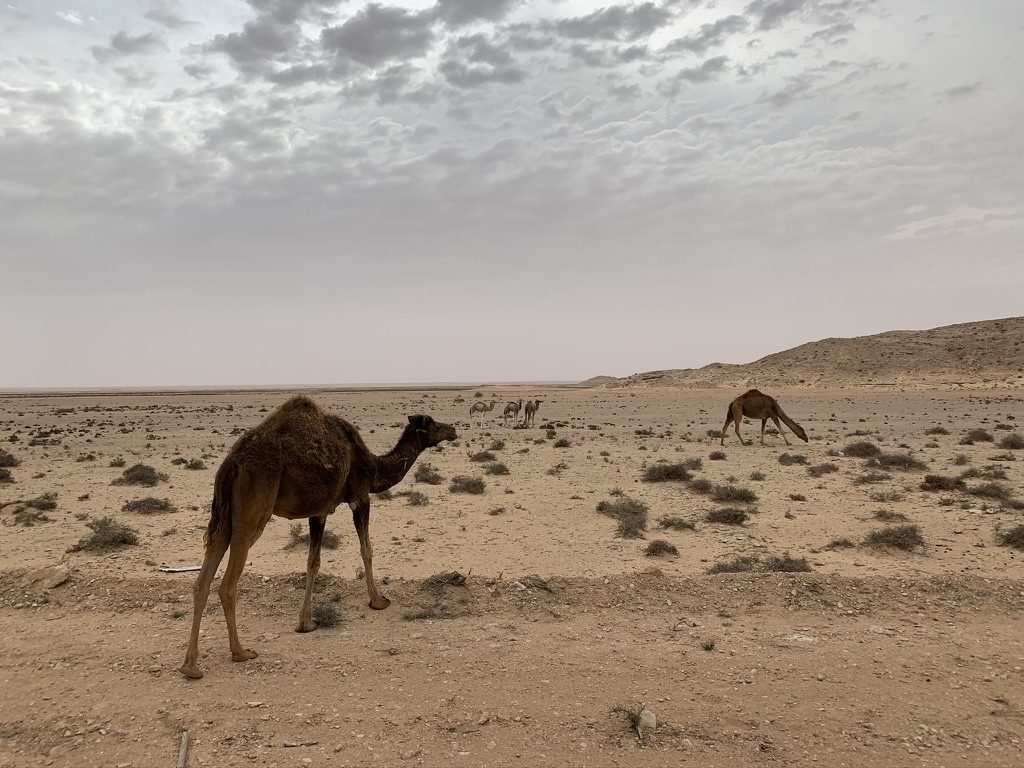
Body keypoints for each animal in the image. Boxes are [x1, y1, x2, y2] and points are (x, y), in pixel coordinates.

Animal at [179, 396, 457, 679]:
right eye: (435, 424)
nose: (454, 430)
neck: (372, 464)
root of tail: (231, 462)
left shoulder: (319, 511)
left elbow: (313, 562)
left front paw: (306, 622)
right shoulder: (360, 497)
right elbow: (366, 550)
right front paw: (378, 601)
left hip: (225, 518)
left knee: (202, 581)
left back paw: (190, 666)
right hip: (253, 512)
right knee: (227, 584)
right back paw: (240, 652)